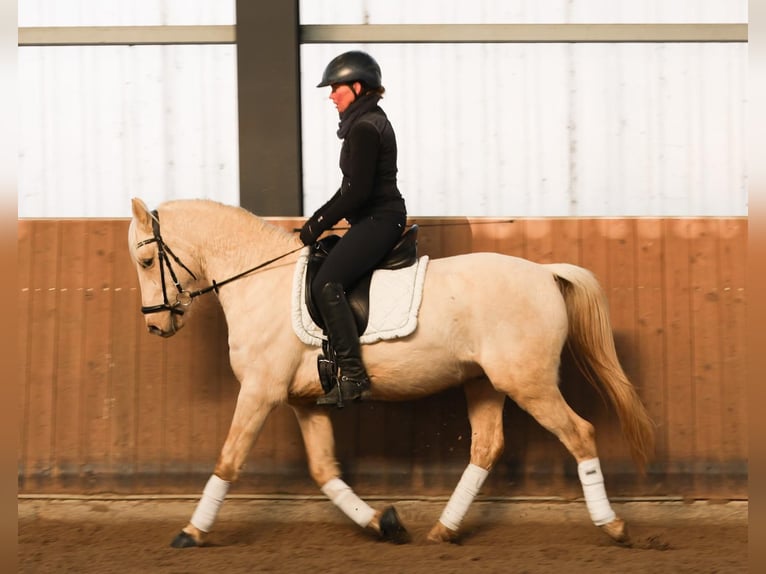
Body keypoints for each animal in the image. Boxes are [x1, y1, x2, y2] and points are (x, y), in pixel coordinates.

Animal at [129, 200, 656, 552]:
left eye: (147, 260)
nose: (156, 325)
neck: (260, 281)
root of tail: (546, 273)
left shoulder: (260, 391)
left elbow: (228, 459)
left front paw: (191, 531)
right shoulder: (302, 401)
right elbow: (324, 472)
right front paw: (381, 523)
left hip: (529, 383)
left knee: (579, 433)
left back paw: (613, 526)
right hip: (484, 383)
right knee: (486, 448)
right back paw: (443, 529)